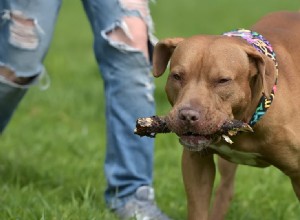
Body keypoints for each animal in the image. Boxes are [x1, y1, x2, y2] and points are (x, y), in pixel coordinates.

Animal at [152, 11, 300, 219]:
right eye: (177, 76)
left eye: (222, 81)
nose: (188, 116)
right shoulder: (196, 163)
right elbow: (198, 209)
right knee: (225, 189)